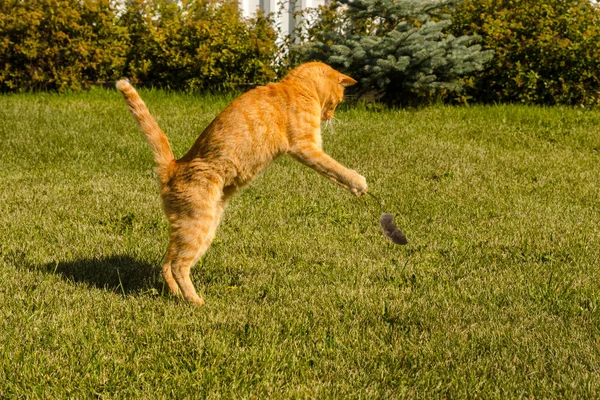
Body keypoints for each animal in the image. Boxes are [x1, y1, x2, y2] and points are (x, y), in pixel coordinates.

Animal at [117, 61, 368, 306]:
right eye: (338, 101)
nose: (330, 116)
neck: (297, 86)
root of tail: (172, 167)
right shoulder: (305, 147)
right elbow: (335, 168)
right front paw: (359, 183)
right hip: (197, 226)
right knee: (178, 265)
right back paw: (196, 301)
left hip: (200, 229)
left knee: (167, 263)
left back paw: (177, 295)